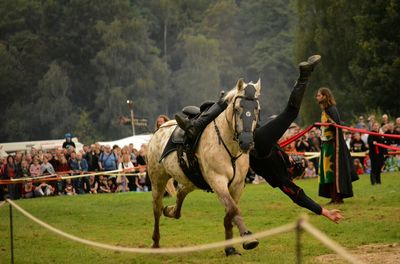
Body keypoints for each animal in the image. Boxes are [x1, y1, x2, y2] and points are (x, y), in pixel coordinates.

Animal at [147, 79, 262, 256]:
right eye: (237, 109)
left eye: (257, 109)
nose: (247, 142)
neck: (230, 148)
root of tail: (159, 129)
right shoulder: (218, 181)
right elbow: (233, 210)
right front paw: (248, 238)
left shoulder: (237, 186)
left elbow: (230, 213)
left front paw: (230, 248)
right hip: (158, 181)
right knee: (157, 208)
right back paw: (155, 242)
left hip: (190, 180)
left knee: (180, 194)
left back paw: (171, 211)